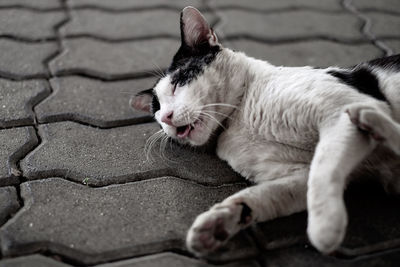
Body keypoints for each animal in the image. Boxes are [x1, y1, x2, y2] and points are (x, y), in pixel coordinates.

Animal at [130, 5, 400, 258]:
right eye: (156, 110)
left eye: (178, 83)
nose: (166, 117)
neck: (238, 118)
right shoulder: (298, 175)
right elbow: (260, 195)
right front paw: (218, 223)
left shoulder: (338, 113)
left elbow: (324, 169)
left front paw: (325, 227)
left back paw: (369, 119)